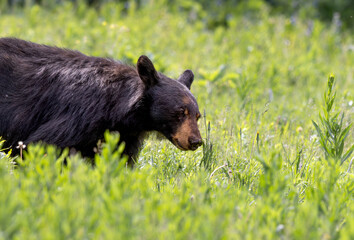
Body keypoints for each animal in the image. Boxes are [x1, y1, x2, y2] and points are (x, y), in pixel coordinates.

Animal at [0, 38, 202, 165]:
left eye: (197, 116)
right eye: (180, 112)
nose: (196, 141)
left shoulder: (125, 136)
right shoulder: (80, 116)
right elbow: (40, 145)